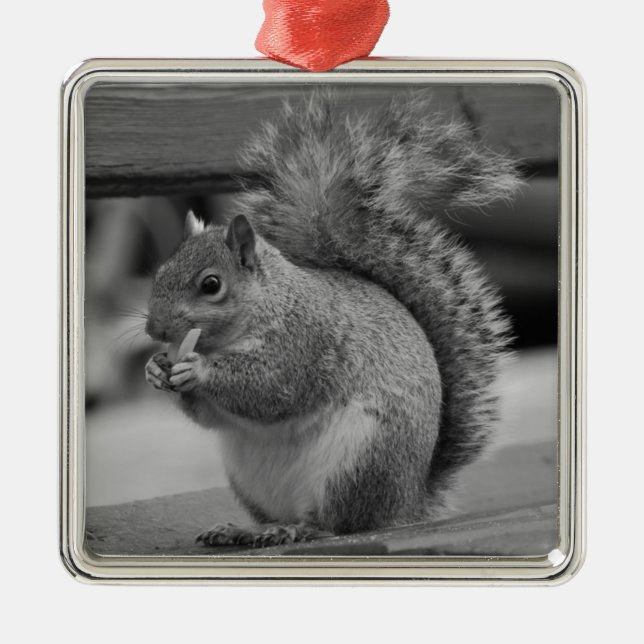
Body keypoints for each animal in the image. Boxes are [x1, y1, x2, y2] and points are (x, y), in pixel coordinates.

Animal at [144, 92, 520, 548]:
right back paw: (243, 530)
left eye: (211, 284)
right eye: (160, 273)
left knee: (337, 523)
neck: (270, 304)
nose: (154, 330)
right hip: (249, 477)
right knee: (280, 515)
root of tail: (407, 503)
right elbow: (211, 416)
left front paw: (197, 368)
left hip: (359, 460)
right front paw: (156, 369)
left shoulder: (305, 341)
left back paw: (297, 529)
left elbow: (270, 388)